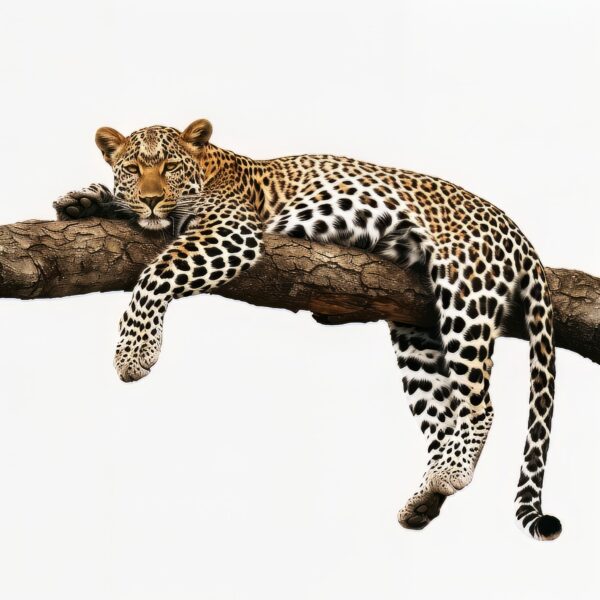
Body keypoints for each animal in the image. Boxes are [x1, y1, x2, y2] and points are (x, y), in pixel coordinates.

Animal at [52, 119, 564, 540]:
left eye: (170, 167)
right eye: (134, 168)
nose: (153, 198)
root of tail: (517, 232)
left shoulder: (232, 233)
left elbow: (155, 276)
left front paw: (134, 353)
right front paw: (83, 200)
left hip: (465, 294)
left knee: (480, 406)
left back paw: (451, 472)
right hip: (416, 327)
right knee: (445, 414)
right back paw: (427, 495)